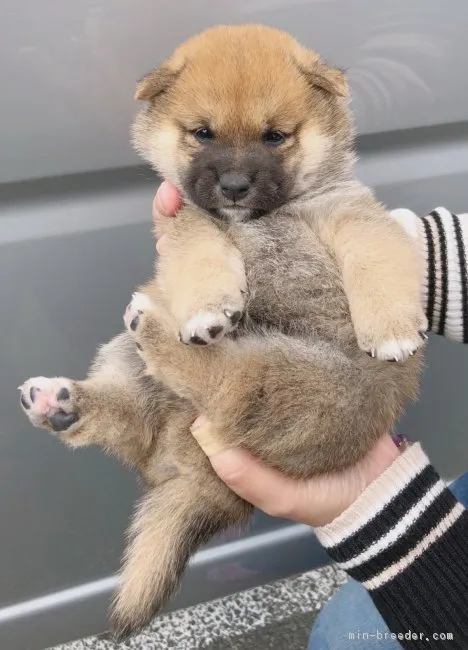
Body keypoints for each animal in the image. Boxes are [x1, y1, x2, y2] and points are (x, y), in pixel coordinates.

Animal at [20, 24, 426, 632]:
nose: (233, 185)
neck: (263, 218)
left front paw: (394, 328)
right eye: (203, 134)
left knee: (210, 383)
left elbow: (377, 256)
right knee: (132, 420)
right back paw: (63, 400)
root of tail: (196, 474)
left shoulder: (348, 213)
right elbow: (200, 246)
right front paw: (208, 306)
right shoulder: (187, 217)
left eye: (275, 136)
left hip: (288, 381)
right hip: (156, 373)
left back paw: (141, 337)